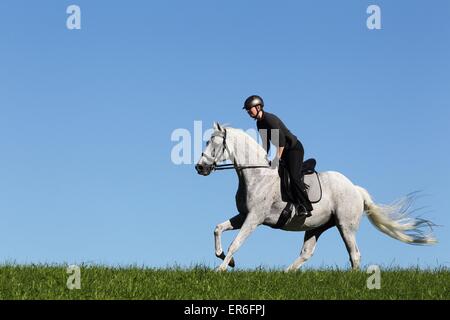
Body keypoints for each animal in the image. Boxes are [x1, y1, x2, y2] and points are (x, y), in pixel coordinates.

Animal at [194, 121, 436, 272]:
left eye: (215, 144)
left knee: (354, 254)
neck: (256, 173)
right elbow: (218, 229)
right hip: (317, 226)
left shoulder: (255, 218)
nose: (200, 167)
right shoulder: (244, 215)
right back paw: (285, 272)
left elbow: (236, 243)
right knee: (306, 253)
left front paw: (220, 269)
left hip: (345, 225)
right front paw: (226, 260)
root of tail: (355, 189)